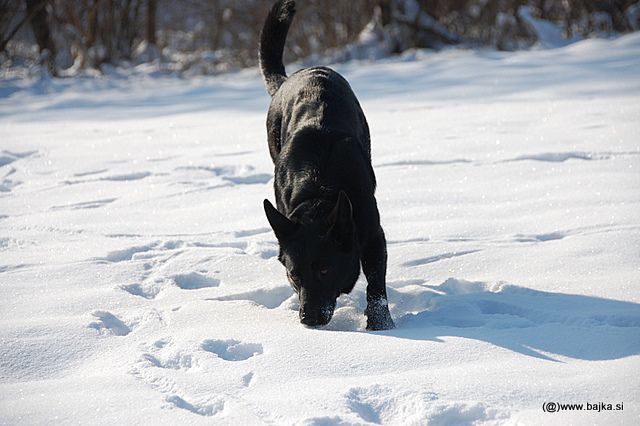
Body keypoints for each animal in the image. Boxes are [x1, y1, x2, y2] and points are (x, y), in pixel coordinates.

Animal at [258, 0, 392, 332]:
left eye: (324, 270)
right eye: (294, 275)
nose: (308, 319)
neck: (320, 188)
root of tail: (294, 76)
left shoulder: (373, 235)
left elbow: (376, 287)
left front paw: (381, 325)